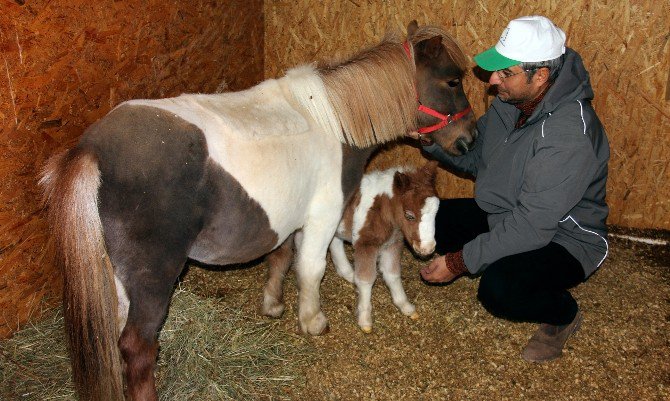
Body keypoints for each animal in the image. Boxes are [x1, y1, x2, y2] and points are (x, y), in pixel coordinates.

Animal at [266, 159, 444, 332]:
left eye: (436, 213)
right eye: (410, 215)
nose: (428, 248)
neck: (381, 209)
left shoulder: (392, 244)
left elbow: (392, 275)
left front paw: (405, 306)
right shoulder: (366, 244)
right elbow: (366, 279)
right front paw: (365, 319)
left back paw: (347, 274)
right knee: (281, 256)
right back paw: (273, 305)